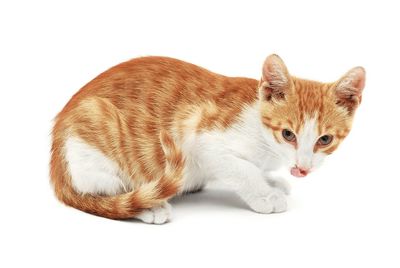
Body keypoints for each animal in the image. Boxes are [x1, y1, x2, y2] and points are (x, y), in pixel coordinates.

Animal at [50, 54, 366, 224]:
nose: (302, 168)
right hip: (93, 132)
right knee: (104, 191)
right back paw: (150, 206)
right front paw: (264, 193)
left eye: (325, 139)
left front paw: (271, 181)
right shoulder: (202, 139)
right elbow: (242, 169)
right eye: (288, 134)